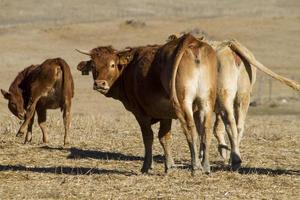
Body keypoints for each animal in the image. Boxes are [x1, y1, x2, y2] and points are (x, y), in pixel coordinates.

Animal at [77, 33, 218, 174]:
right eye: (93, 66)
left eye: (112, 65)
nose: (99, 84)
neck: (129, 68)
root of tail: (191, 40)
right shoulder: (165, 113)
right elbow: (164, 137)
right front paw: (170, 166)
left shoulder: (140, 113)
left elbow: (148, 137)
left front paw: (147, 166)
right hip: (206, 102)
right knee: (206, 131)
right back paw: (205, 166)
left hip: (184, 103)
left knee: (190, 129)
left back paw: (196, 167)